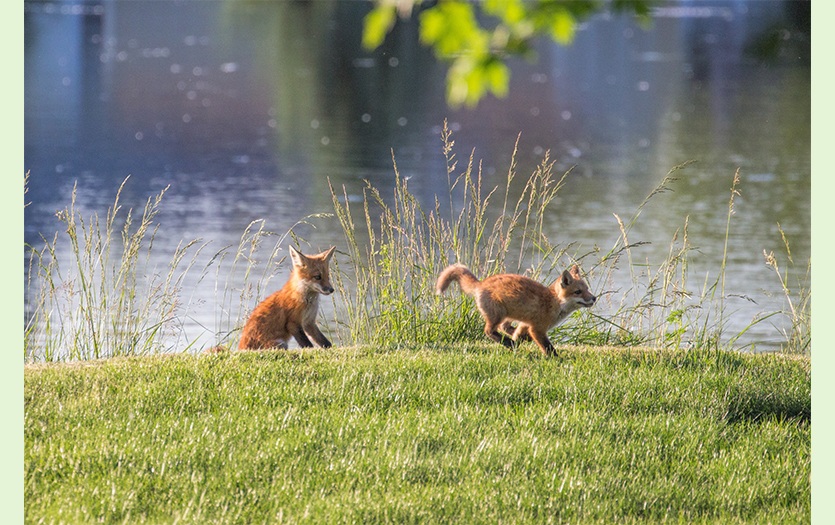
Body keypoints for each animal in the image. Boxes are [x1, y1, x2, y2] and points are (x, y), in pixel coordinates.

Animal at [435, 263, 596, 356]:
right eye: (578, 292)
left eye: (587, 289)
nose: (594, 298)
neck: (552, 303)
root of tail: (480, 283)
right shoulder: (537, 328)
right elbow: (548, 347)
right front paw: (557, 360)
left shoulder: (527, 323)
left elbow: (519, 334)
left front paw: (517, 341)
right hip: (498, 314)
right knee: (489, 331)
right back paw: (506, 341)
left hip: (508, 315)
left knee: (504, 328)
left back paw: (512, 340)